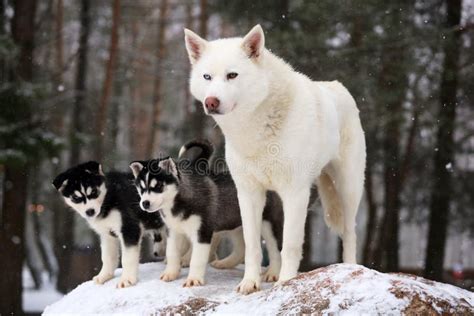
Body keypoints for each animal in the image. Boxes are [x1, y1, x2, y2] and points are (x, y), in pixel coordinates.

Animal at [129, 141, 286, 286]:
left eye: (159, 186)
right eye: (141, 188)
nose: (145, 203)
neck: (176, 203)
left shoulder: (202, 232)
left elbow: (196, 259)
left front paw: (193, 279)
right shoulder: (174, 230)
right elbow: (172, 253)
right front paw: (170, 274)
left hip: (268, 223)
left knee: (275, 249)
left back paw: (272, 273)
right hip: (237, 223)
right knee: (241, 248)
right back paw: (224, 263)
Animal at [183, 24, 364, 294]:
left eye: (232, 75)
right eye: (207, 77)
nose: (211, 102)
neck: (254, 130)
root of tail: (338, 86)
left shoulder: (295, 193)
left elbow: (290, 244)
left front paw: (287, 282)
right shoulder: (248, 193)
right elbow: (252, 245)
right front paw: (249, 283)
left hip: (348, 190)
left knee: (350, 233)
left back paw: (350, 267)